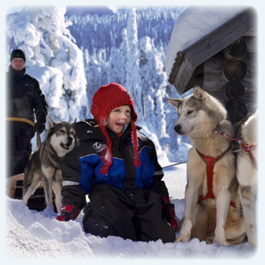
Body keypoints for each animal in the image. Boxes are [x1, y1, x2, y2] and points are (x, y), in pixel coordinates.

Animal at [167, 85, 245, 244]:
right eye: (178, 114)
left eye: (189, 112)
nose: (176, 128)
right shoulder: (192, 186)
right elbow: (187, 218)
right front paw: (182, 238)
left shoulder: (224, 189)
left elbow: (220, 224)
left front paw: (221, 243)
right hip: (200, 211)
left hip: (241, 226)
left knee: (217, 232)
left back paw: (215, 240)